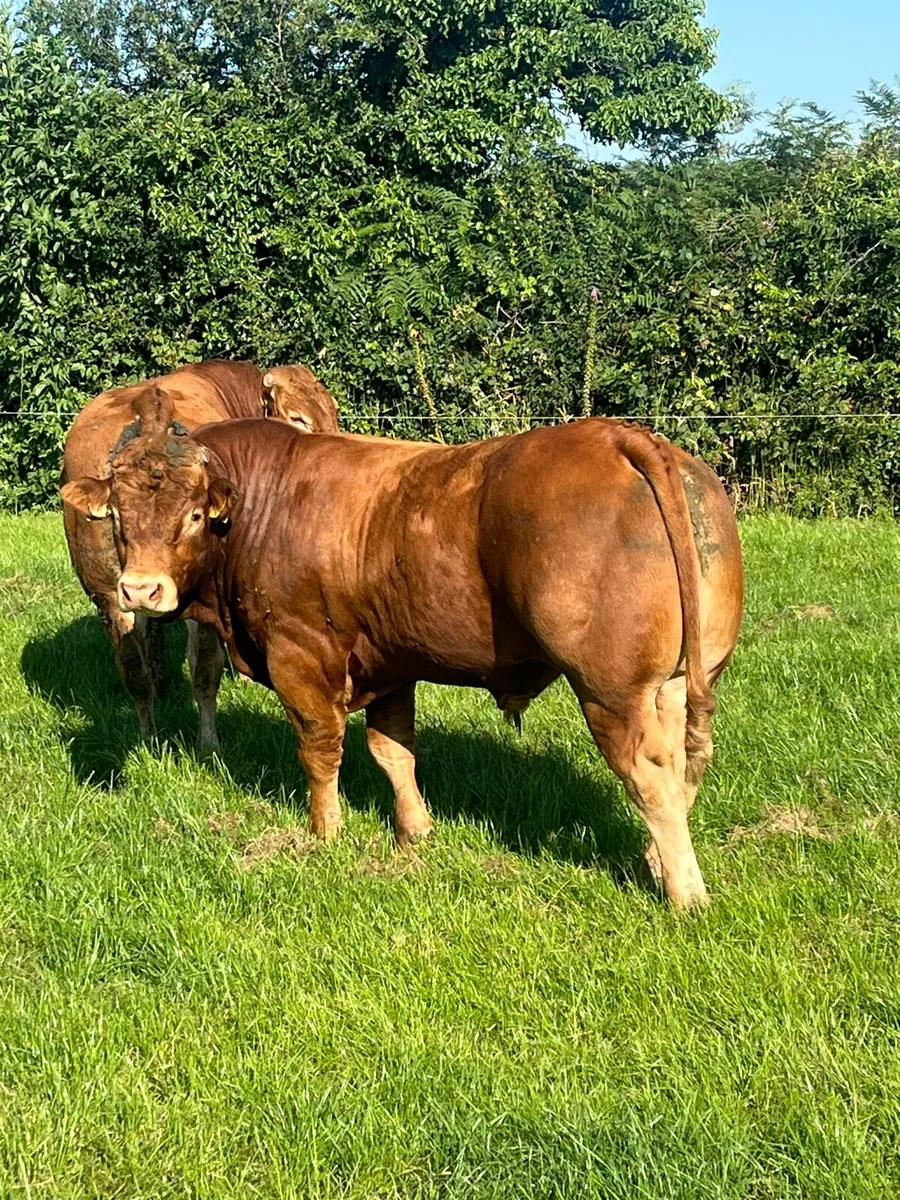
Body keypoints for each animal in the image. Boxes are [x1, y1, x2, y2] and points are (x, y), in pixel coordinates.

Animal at [60, 359, 339, 751]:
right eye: (298, 418)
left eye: (333, 408)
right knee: (204, 668)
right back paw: (209, 744)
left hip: (106, 592)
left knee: (134, 670)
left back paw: (149, 738)